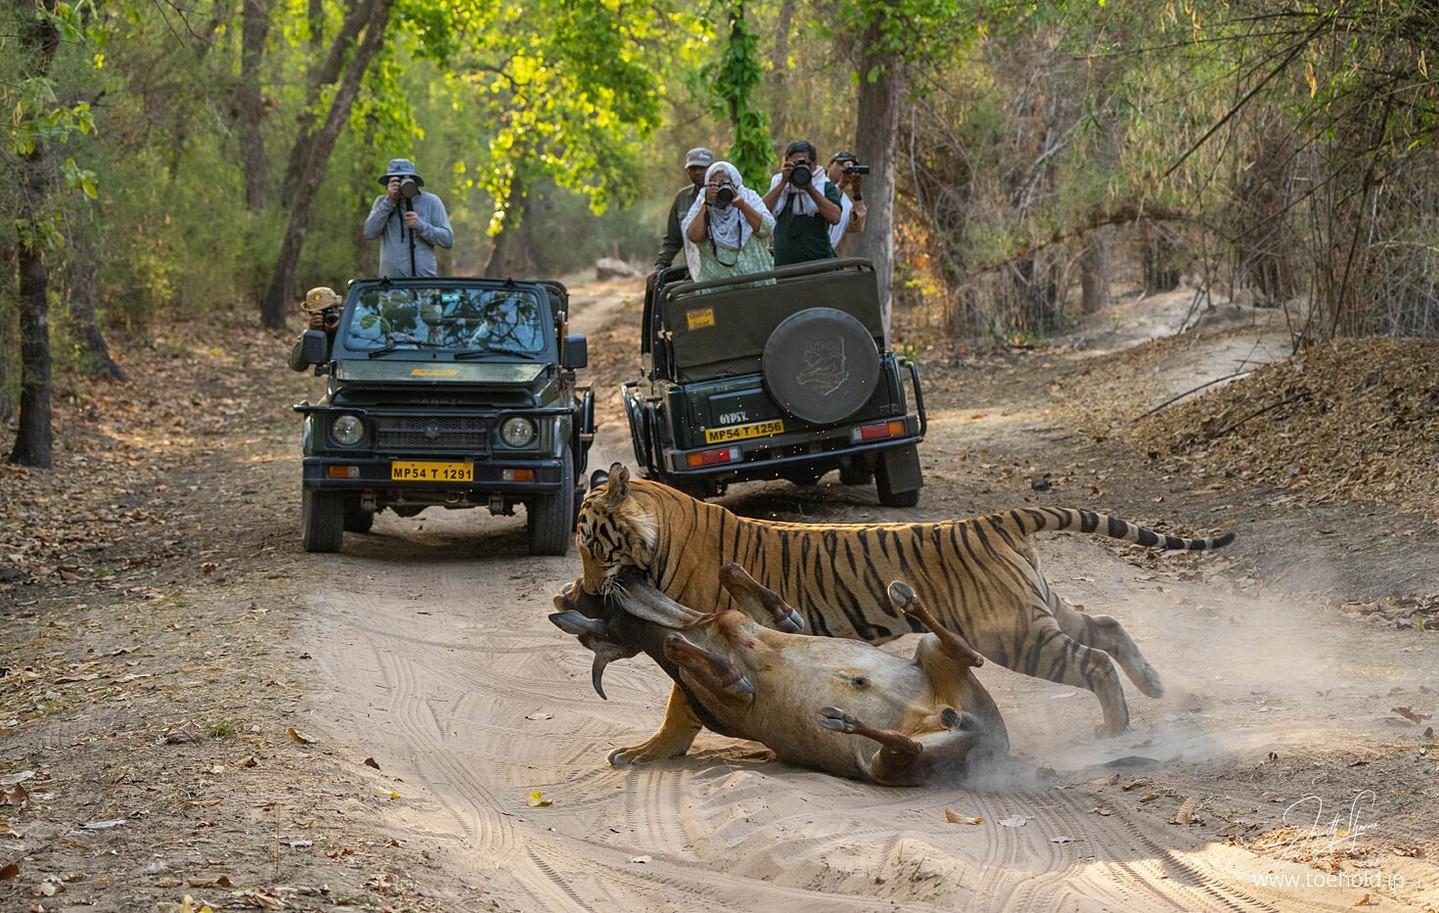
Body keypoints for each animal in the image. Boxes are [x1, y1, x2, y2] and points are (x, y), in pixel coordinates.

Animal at [575, 462, 1235, 766]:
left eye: (591, 544)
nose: (583, 591)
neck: (659, 526)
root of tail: (996, 518)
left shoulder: (705, 624)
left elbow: (680, 703)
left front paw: (646, 752)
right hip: (1038, 608)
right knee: (1107, 627)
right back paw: (1153, 686)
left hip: (1014, 633)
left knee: (1093, 659)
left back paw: (1117, 729)